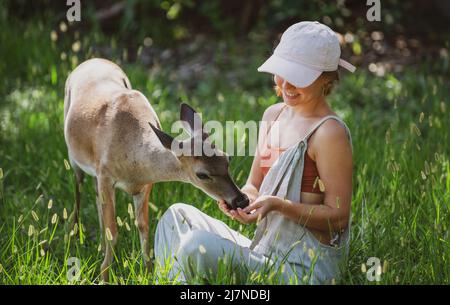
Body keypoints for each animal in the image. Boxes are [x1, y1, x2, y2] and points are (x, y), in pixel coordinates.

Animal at [62, 58, 248, 282]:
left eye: (227, 158)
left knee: (96, 198)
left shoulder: (145, 184)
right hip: (73, 156)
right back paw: (73, 234)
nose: (241, 200)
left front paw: (148, 272)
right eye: (202, 174)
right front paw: (104, 276)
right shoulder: (105, 174)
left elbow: (143, 226)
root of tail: (92, 60)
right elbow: (113, 232)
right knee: (78, 189)